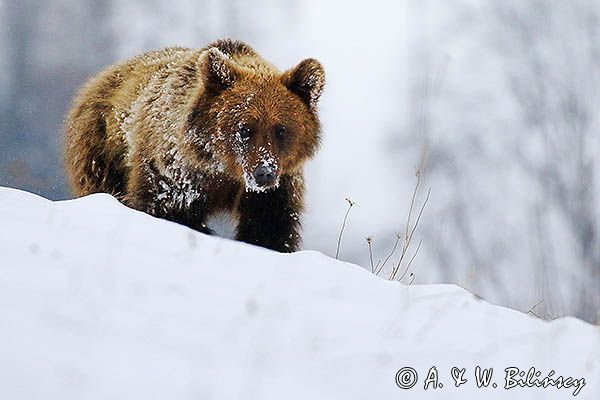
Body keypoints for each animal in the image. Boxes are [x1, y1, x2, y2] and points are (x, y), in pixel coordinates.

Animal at [63, 39, 326, 253]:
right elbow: (169, 209)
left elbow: (269, 228)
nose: (264, 173)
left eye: (281, 129)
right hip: (101, 151)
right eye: (245, 129)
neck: (224, 170)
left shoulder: (277, 188)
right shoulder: (176, 173)